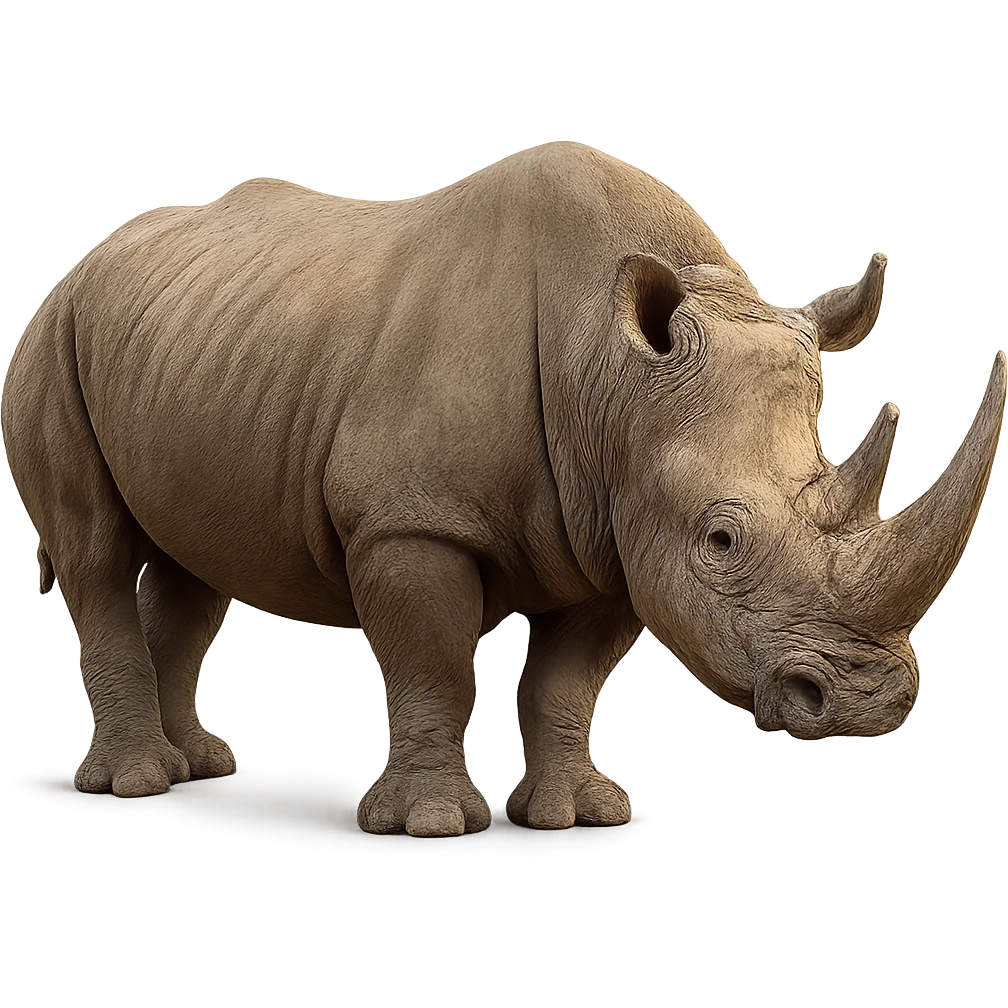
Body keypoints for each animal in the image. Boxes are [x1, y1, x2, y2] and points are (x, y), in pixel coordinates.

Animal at [3, 143, 1002, 837]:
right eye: (721, 541)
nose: (872, 706)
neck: (613, 377)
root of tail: (88, 256)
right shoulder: (411, 523)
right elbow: (435, 662)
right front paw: (431, 825)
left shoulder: (616, 531)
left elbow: (566, 681)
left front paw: (577, 814)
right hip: (50, 334)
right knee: (98, 555)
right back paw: (139, 782)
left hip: (187, 345)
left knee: (190, 571)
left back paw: (201, 766)